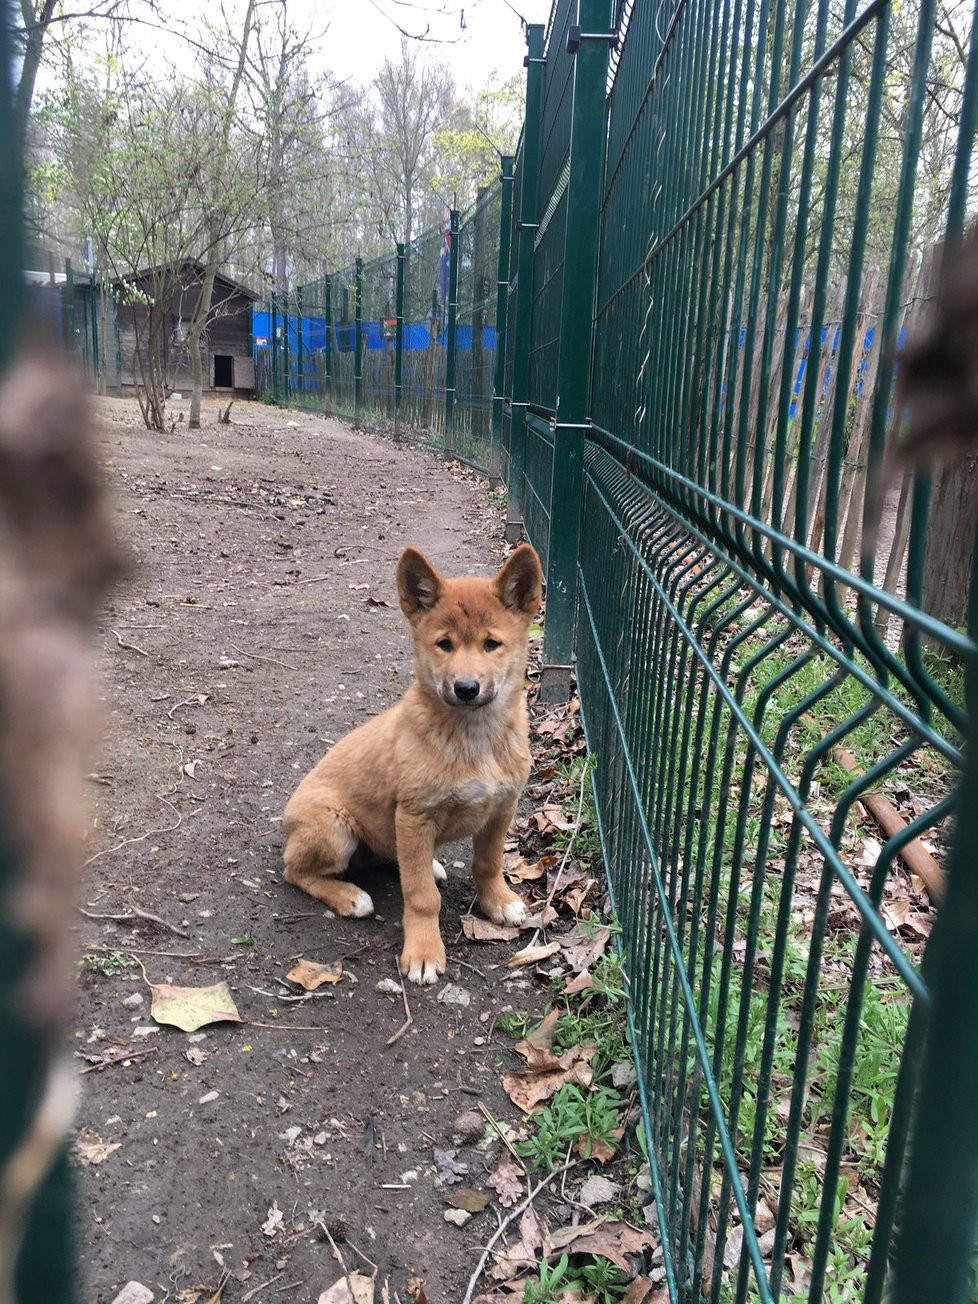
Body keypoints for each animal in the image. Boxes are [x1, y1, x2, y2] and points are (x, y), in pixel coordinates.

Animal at [281, 545, 545, 980]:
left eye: (492, 644)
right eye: (444, 644)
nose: (466, 688)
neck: (474, 738)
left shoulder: (501, 809)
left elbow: (488, 863)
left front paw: (498, 901)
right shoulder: (415, 816)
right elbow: (422, 897)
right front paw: (424, 951)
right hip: (334, 830)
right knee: (295, 871)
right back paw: (348, 895)